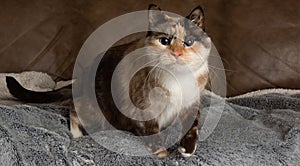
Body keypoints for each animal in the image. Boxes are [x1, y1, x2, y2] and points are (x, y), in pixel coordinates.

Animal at [4, 3, 211, 157]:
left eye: (188, 42)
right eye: (165, 41)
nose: (177, 54)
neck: (177, 78)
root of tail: (80, 80)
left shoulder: (192, 103)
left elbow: (192, 127)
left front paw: (187, 150)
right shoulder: (144, 107)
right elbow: (152, 133)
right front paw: (162, 154)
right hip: (95, 111)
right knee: (73, 111)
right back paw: (76, 137)